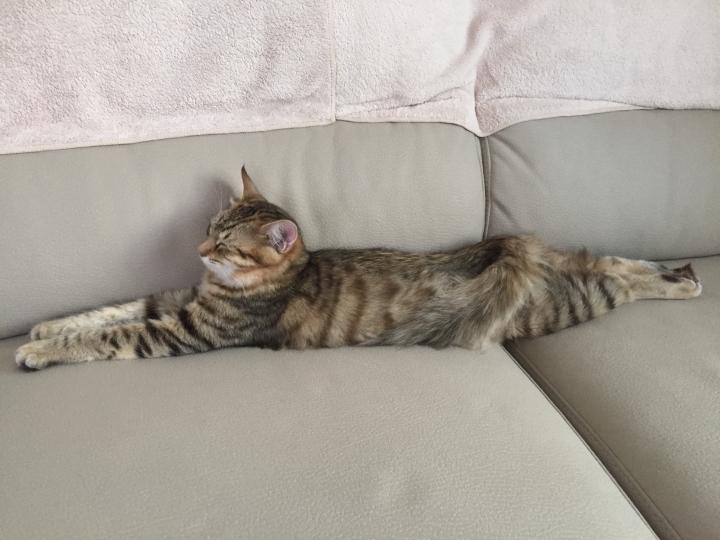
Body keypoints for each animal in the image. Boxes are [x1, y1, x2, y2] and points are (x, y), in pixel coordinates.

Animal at [15, 167, 702, 370]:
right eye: (211, 228)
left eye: (229, 244)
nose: (201, 249)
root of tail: (521, 257)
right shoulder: (176, 299)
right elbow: (107, 310)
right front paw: (46, 327)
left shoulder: (187, 328)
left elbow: (113, 332)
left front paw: (39, 350)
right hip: (566, 263)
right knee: (610, 260)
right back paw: (679, 271)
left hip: (564, 302)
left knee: (615, 284)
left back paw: (682, 284)